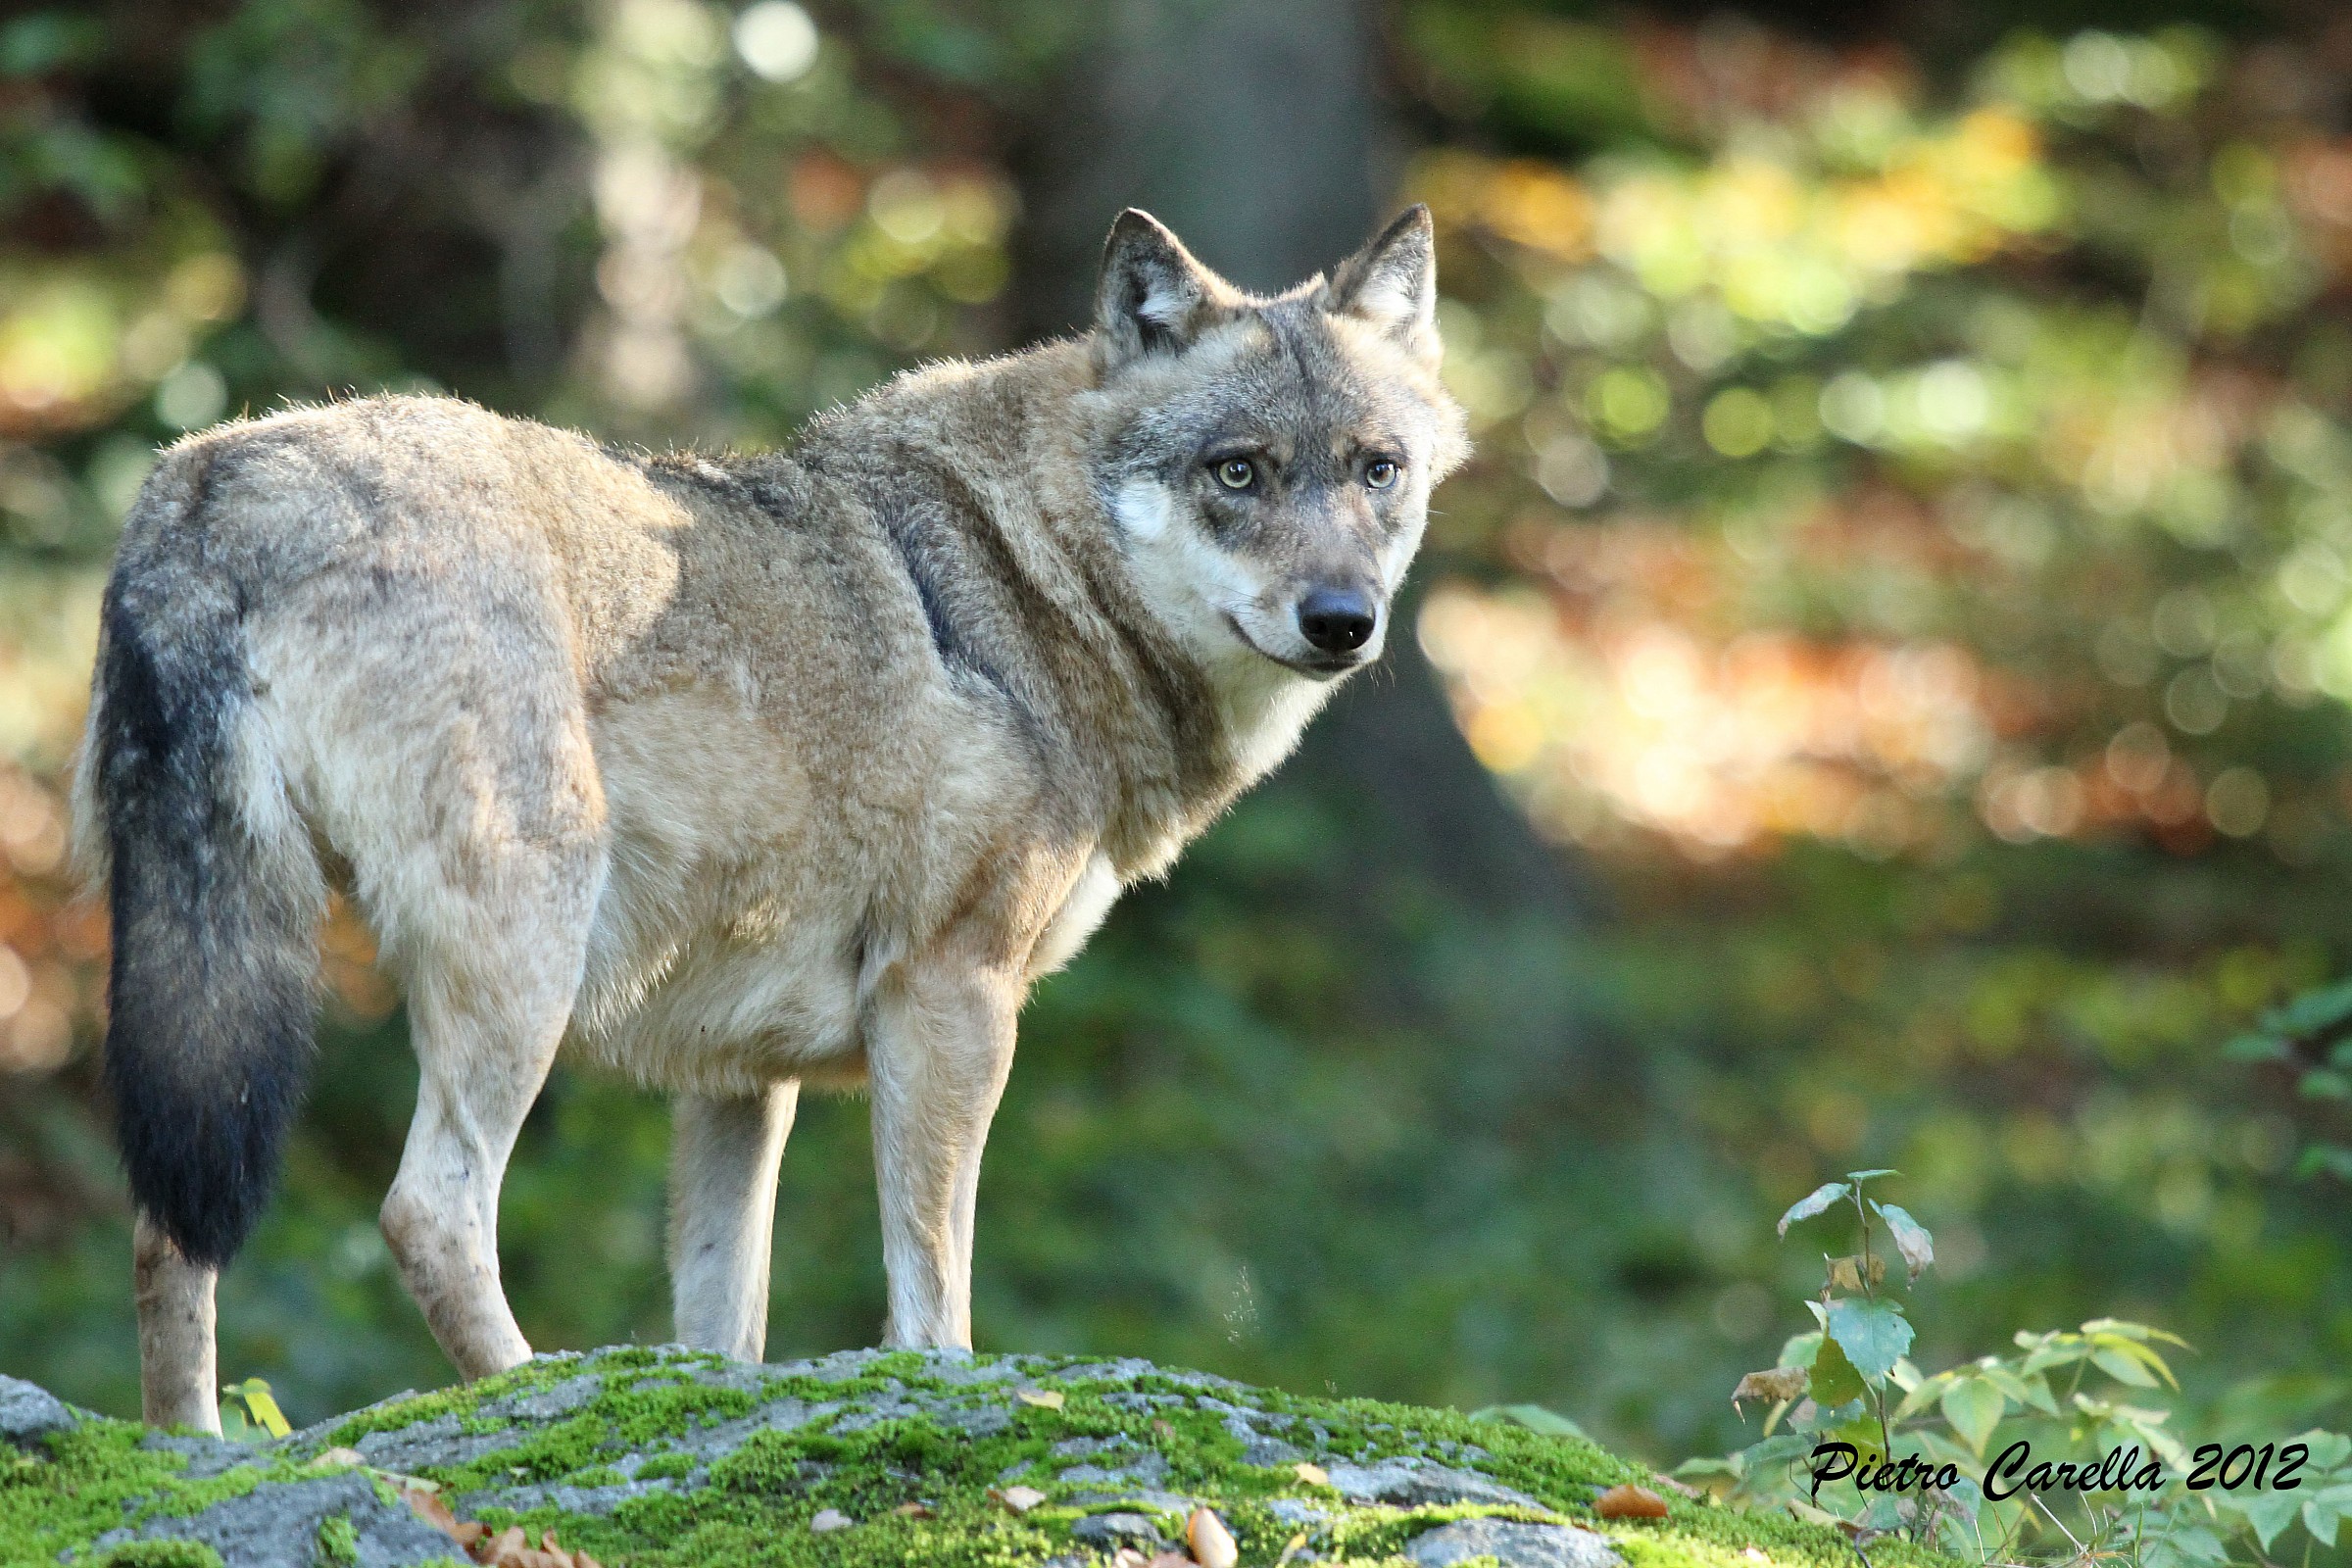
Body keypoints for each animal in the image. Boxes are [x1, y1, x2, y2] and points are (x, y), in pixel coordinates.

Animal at [73, 205, 1467, 1430]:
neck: (1037, 587)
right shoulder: (950, 1001)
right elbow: (933, 1298)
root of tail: (212, 479)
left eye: (1377, 472)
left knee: (166, 1223)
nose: (1343, 622)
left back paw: (190, 1456)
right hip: (516, 957)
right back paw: (541, 1391)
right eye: (1239, 472)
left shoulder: (741, 1077)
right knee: (428, 1210)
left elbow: (725, 1321)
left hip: (218, 977)